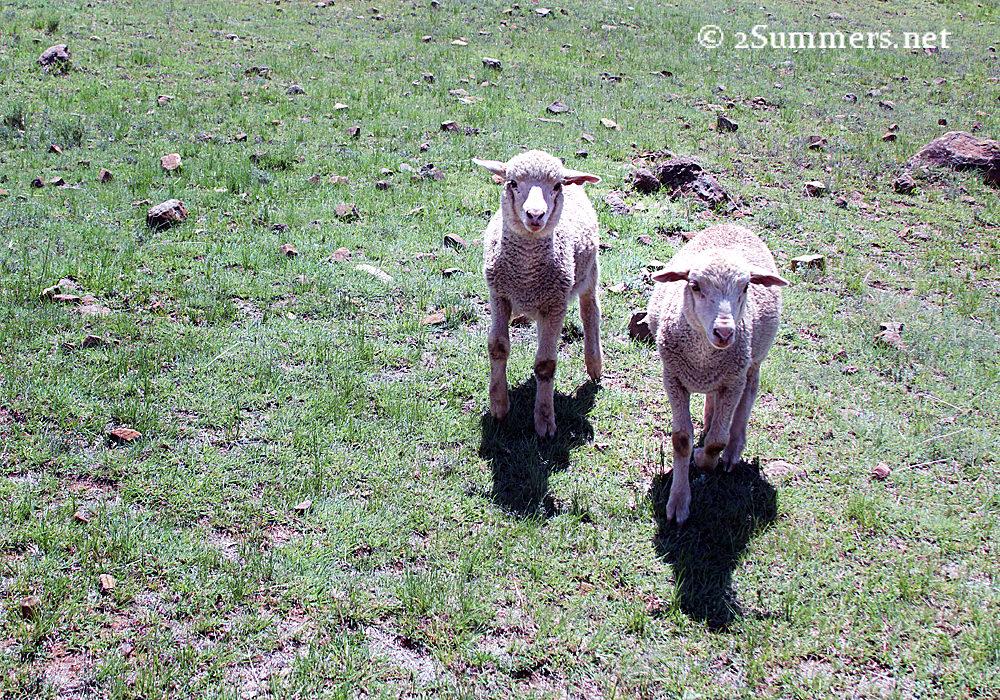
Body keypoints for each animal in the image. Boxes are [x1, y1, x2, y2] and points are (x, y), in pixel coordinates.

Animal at [472, 150, 603, 438]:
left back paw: (594, 364)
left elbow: (545, 364)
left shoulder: (555, 304)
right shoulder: (499, 295)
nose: (535, 214)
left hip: (589, 272)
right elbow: (497, 347)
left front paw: (544, 420)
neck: (526, 274)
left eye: (556, 187)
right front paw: (499, 406)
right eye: (512, 183)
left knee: (590, 312)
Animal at [646, 224, 788, 526]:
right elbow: (682, 440)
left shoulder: (733, 380)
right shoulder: (673, 377)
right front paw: (678, 502)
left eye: (746, 287)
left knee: (748, 396)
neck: (704, 357)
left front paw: (703, 459)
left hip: (752, 362)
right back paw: (711, 418)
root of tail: (732, 225)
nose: (724, 332)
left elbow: (716, 442)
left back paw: (732, 452)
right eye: (695, 286)